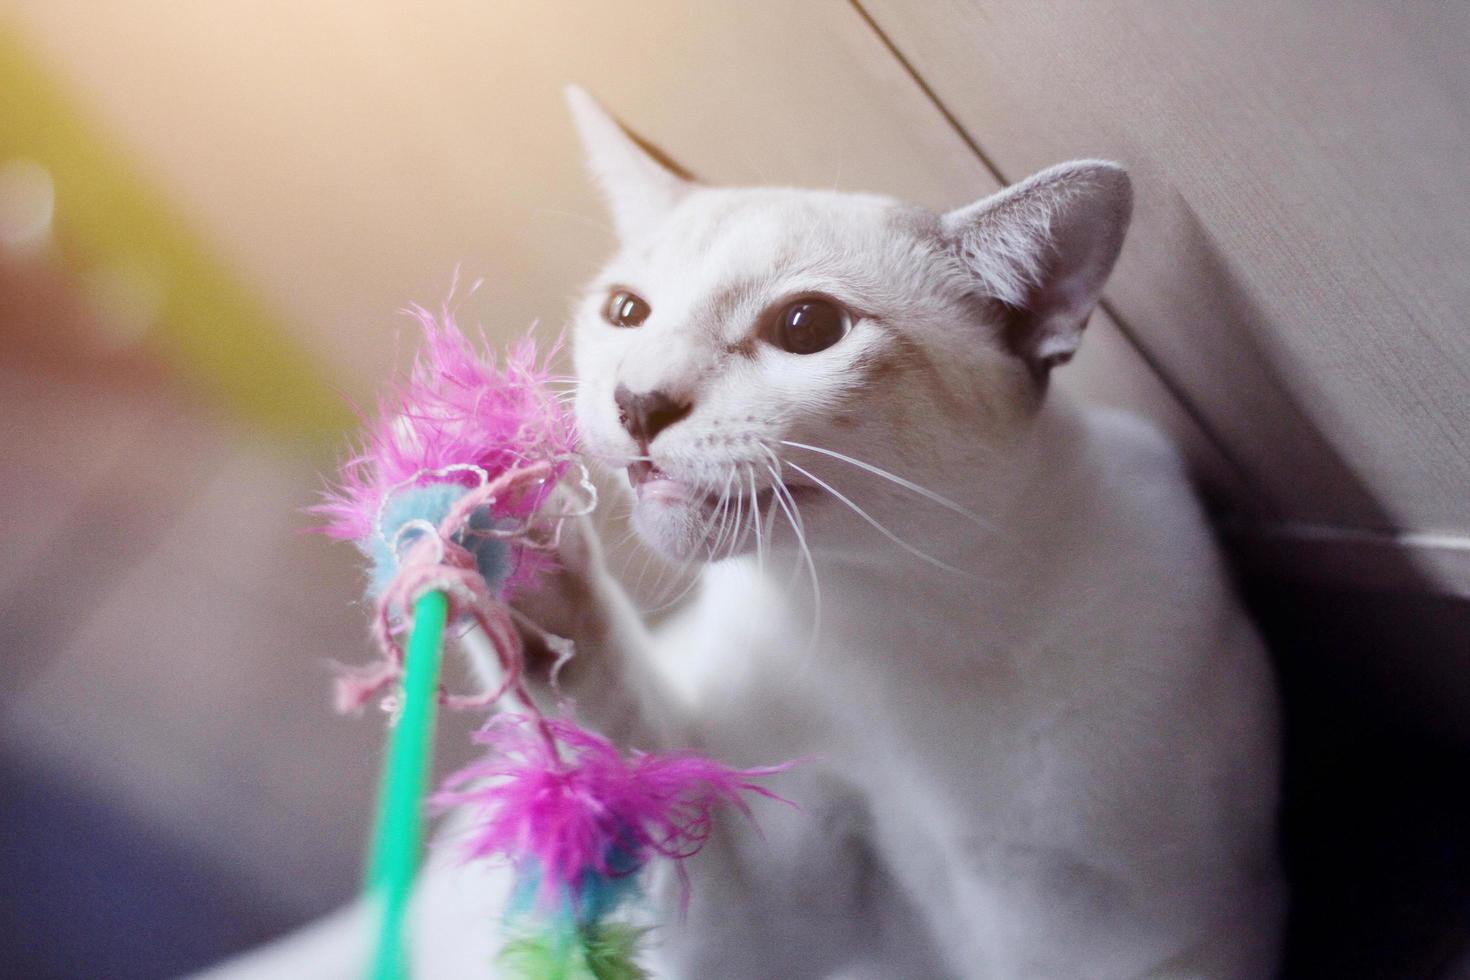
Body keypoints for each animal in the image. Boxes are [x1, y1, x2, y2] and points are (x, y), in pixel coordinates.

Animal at [201, 88, 1281, 975]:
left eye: (807, 328)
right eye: (625, 312)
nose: (637, 402)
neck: (871, 625)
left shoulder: (1090, 928)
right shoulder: (745, 909)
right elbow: (607, 742)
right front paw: (509, 549)